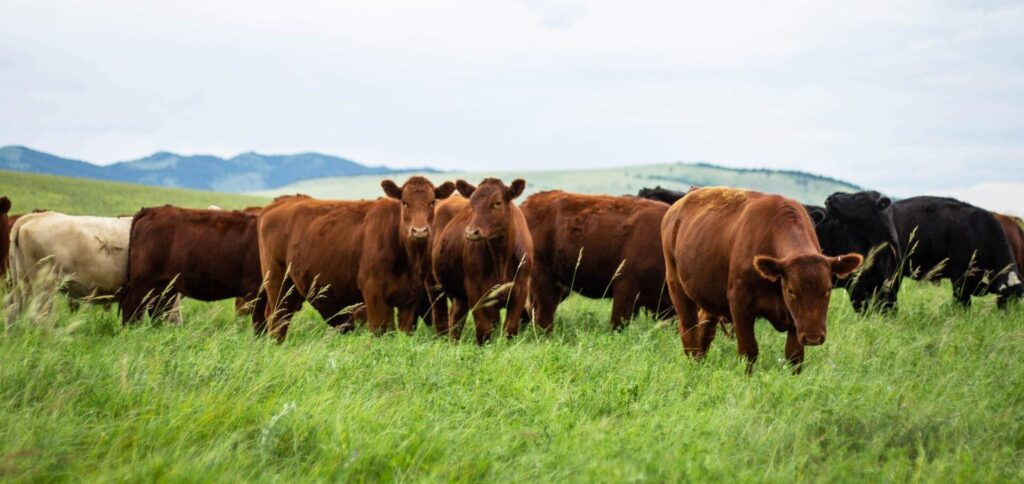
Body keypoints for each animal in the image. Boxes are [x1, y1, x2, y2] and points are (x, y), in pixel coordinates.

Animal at [120, 205, 266, 328]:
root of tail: (151, 210)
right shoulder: (256, 291)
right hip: (143, 283)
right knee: (131, 308)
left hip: (166, 287)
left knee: (158, 310)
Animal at [258, 177, 455, 342]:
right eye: (405, 203)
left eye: (432, 202)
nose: (419, 231)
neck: (408, 261)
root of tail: (280, 202)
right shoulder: (374, 294)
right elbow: (380, 331)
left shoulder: (409, 299)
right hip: (277, 282)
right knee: (277, 317)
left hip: (291, 288)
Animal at [432, 178, 533, 344]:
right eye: (471, 204)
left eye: (497, 203)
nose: (471, 232)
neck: (501, 257)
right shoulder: (475, 289)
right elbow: (484, 330)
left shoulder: (521, 289)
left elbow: (510, 329)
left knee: (457, 314)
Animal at [661, 187, 862, 372]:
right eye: (791, 290)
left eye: (828, 289)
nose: (813, 337)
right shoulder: (740, 305)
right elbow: (748, 351)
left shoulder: (795, 321)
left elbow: (795, 356)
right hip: (676, 285)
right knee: (688, 329)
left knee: (705, 330)